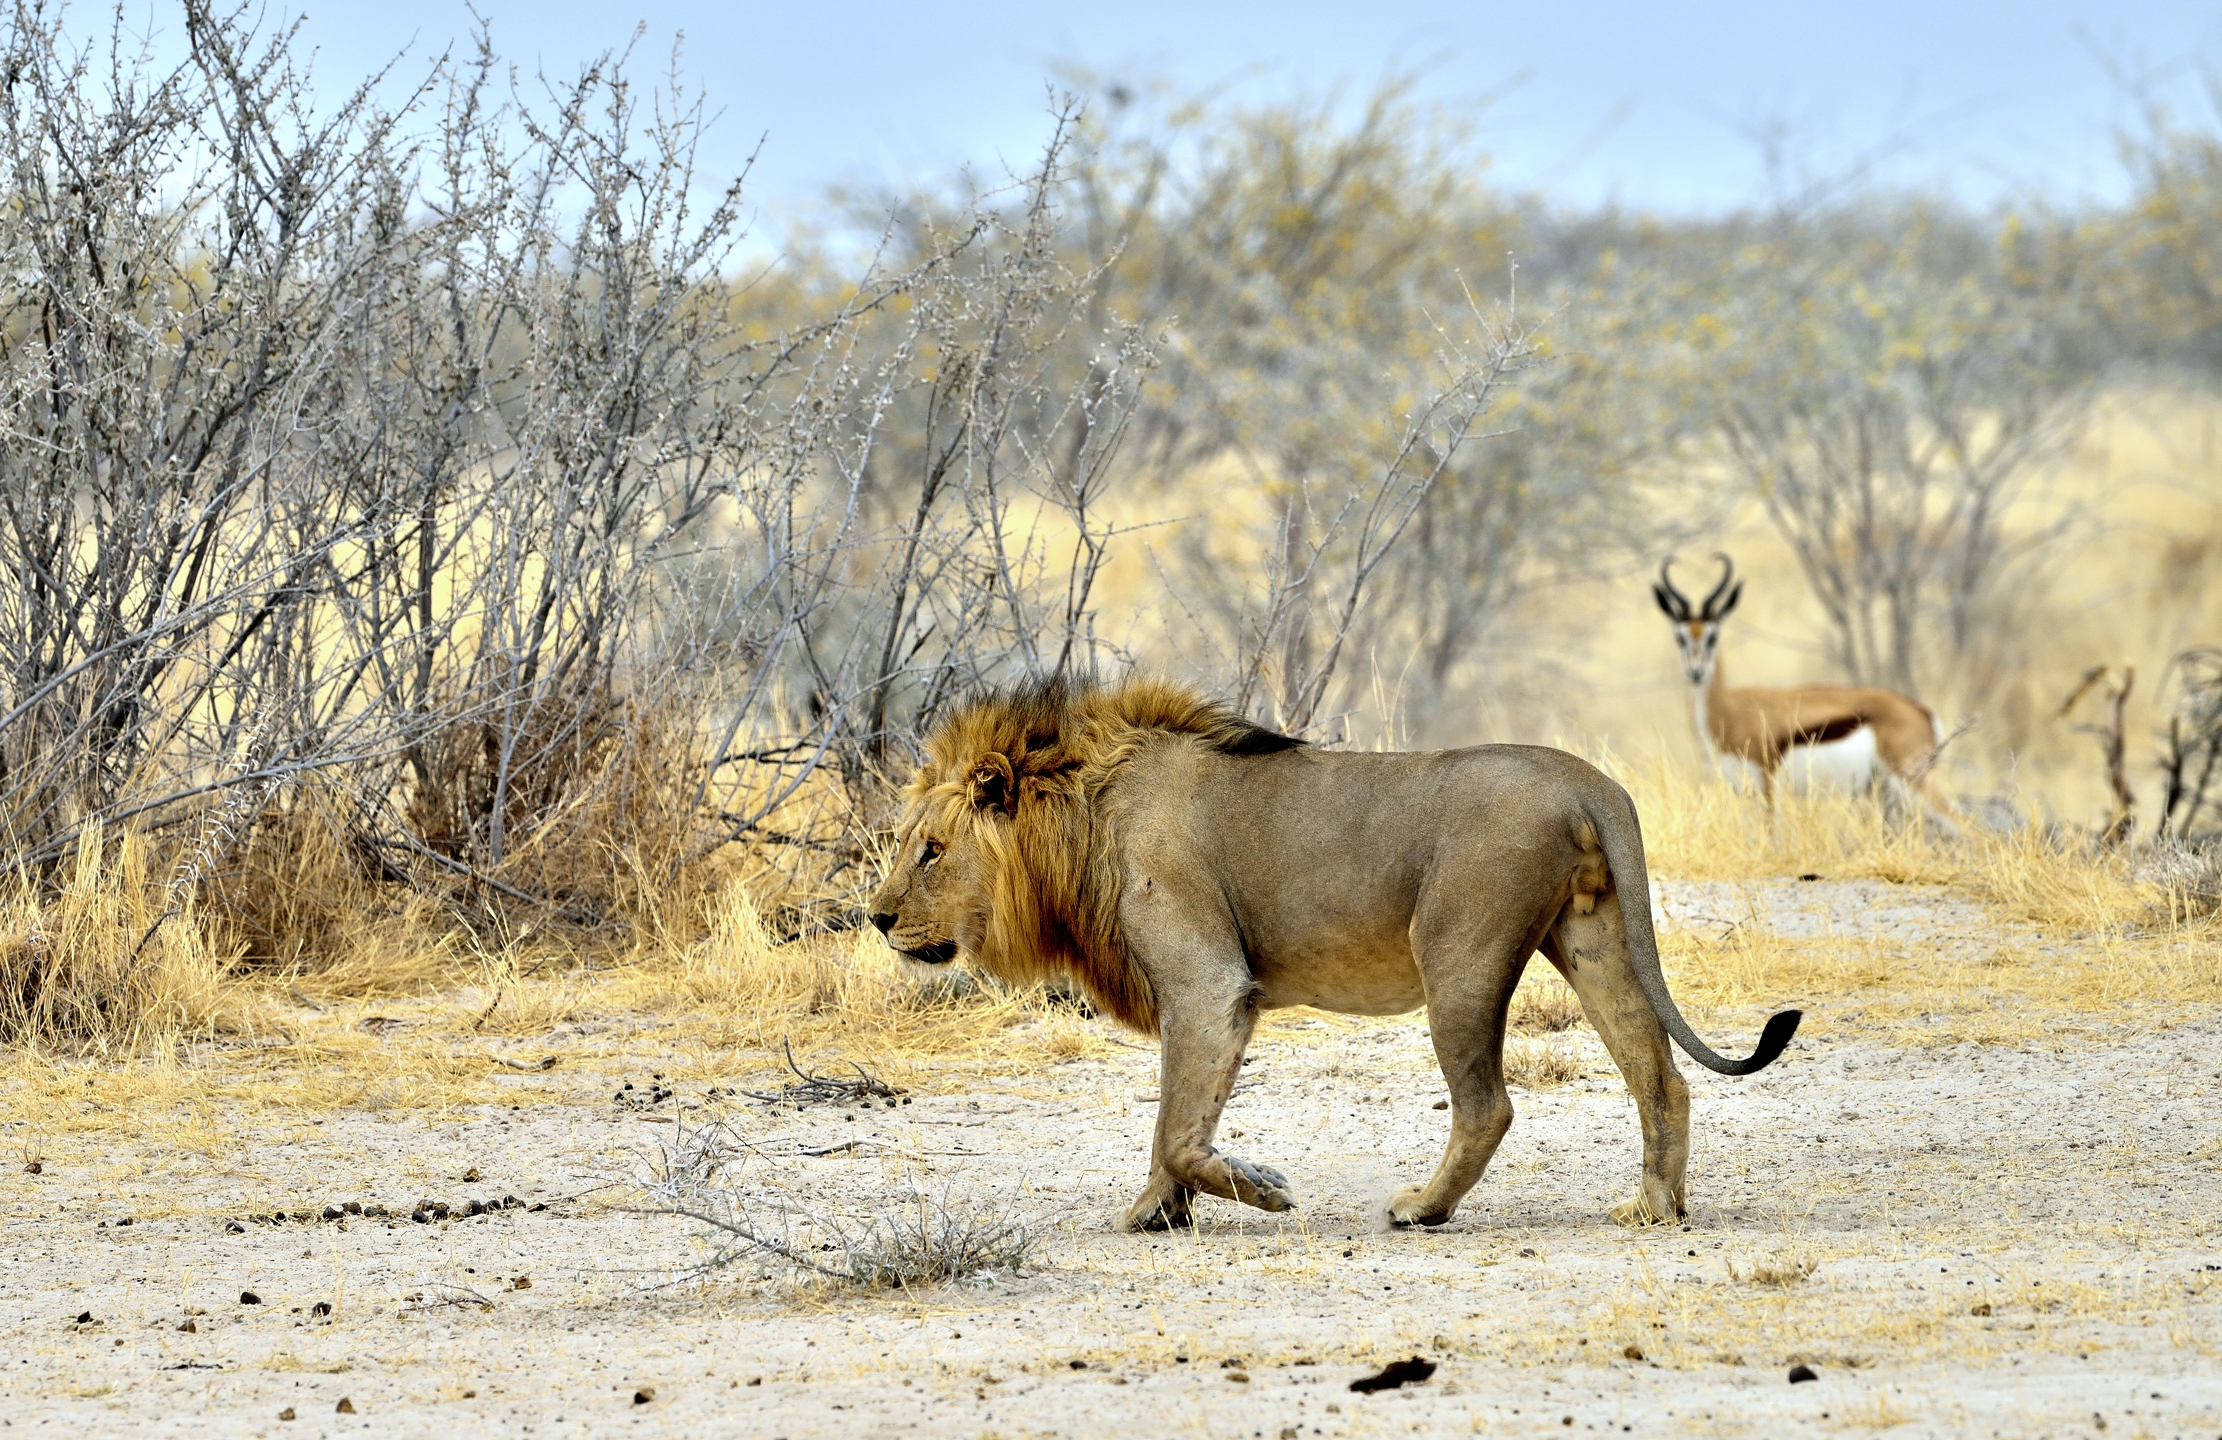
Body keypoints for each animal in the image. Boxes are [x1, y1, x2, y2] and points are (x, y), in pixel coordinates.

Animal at [866, 676, 1800, 1232]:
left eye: (931, 851)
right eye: (908, 843)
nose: (875, 918)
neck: (1085, 814)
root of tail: (1587, 780)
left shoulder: (1208, 982)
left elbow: (1177, 1127)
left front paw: (1260, 1186)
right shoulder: (1207, 995)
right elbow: (1181, 1118)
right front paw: (1158, 1213)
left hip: (1457, 951)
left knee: (1489, 1105)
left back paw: (1423, 1208)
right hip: (1592, 937)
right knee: (1658, 1073)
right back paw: (1655, 1207)